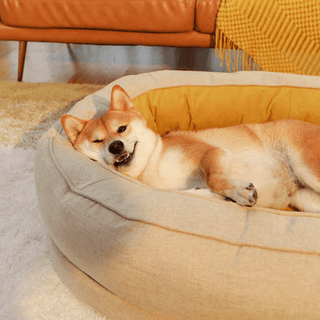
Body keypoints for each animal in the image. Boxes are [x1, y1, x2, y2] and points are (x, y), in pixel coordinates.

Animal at [60, 85, 320, 212]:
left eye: (121, 129)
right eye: (97, 141)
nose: (115, 146)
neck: (153, 164)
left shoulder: (210, 152)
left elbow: (214, 178)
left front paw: (237, 192)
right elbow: (192, 192)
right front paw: (219, 197)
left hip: (305, 165)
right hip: (304, 198)